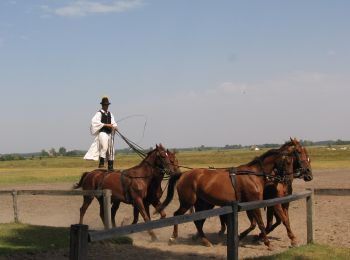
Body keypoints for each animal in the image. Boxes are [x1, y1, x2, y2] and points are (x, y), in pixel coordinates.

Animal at [157, 139, 310, 249]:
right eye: (290, 159)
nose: (287, 180)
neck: (254, 174)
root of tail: (184, 174)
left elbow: (259, 223)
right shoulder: (255, 203)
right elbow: (261, 223)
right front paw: (268, 242)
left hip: (204, 204)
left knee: (198, 221)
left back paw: (205, 241)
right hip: (188, 202)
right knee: (177, 215)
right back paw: (173, 237)